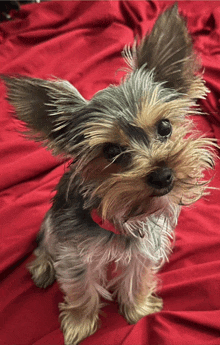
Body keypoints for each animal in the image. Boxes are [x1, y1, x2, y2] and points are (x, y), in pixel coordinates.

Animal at [2, 5, 216, 344]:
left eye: (165, 126)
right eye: (112, 151)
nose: (163, 175)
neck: (123, 215)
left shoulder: (145, 249)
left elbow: (137, 279)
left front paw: (138, 310)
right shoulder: (75, 253)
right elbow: (81, 288)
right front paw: (79, 323)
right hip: (51, 224)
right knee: (45, 244)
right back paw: (43, 267)